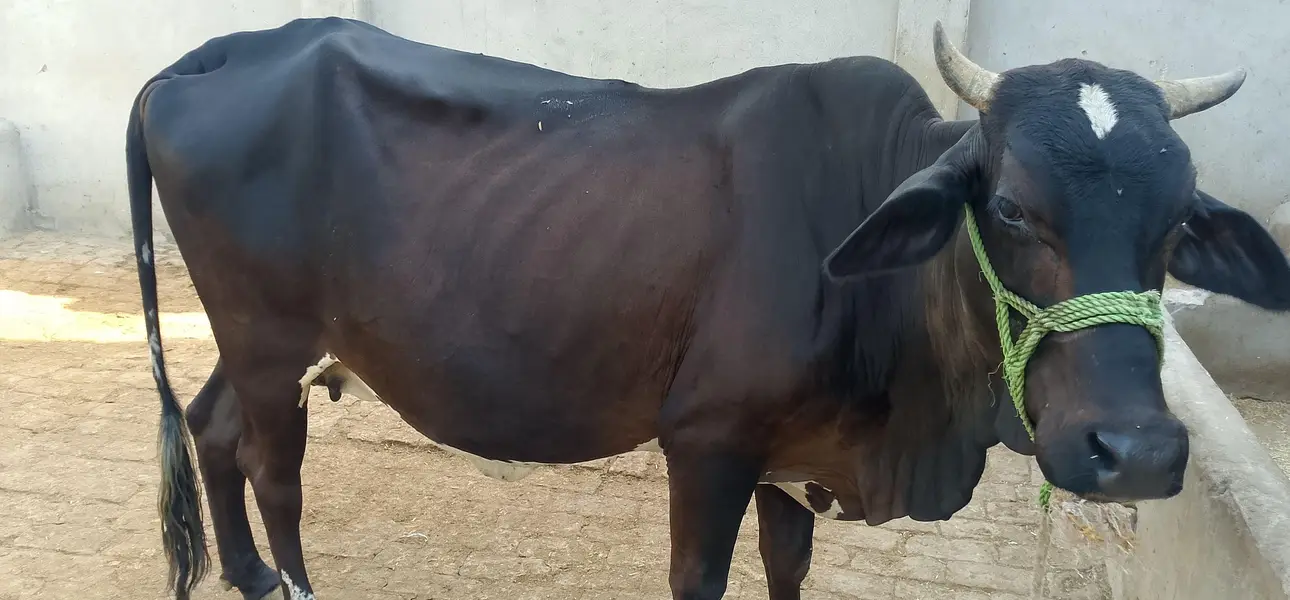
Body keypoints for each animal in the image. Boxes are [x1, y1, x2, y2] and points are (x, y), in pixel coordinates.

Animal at [125, 16, 1290, 600]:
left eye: (1180, 221)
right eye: (1007, 205)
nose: (1133, 453)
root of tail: (219, 51)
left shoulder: (792, 462)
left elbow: (786, 575)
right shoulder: (709, 443)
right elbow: (702, 581)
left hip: (257, 337)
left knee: (211, 428)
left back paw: (245, 577)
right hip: (271, 342)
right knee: (274, 471)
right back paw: (284, 580)